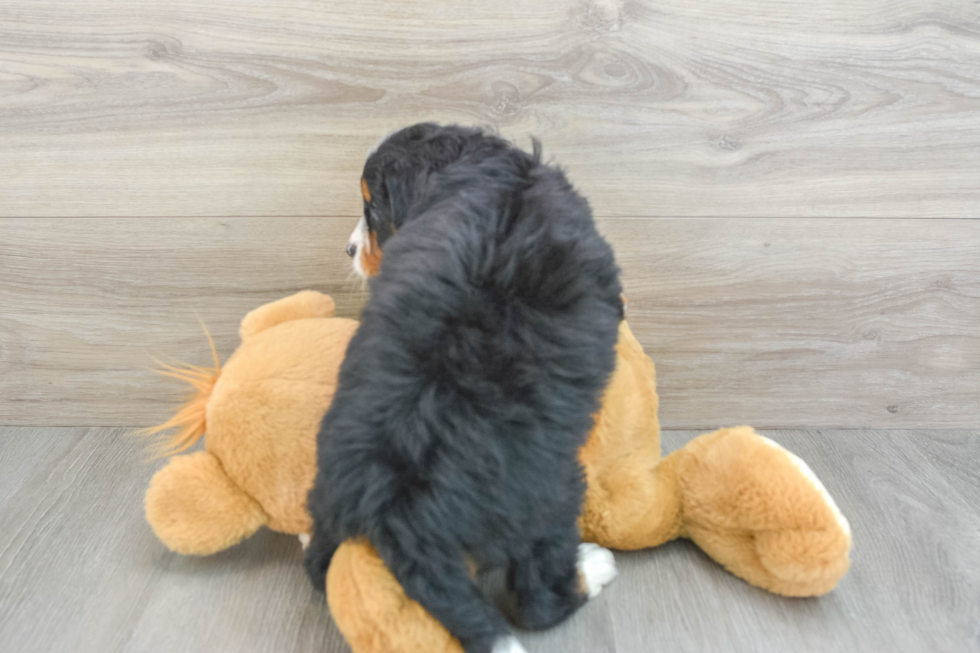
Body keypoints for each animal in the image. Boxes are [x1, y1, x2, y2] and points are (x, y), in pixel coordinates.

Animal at [306, 123, 624, 652]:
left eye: (373, 212)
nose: (349, 250)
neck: (496, 177)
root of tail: (397, 511)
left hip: (328, 488)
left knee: (317, 565)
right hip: (552, 494)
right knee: (536, 600)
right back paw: (593, 567)